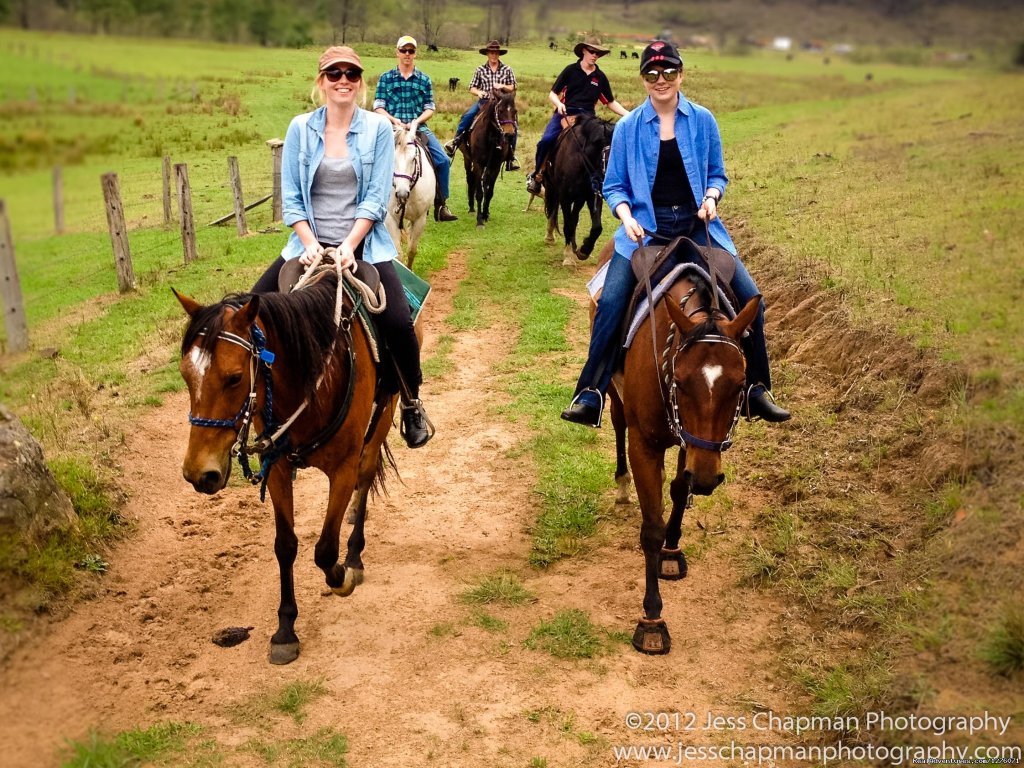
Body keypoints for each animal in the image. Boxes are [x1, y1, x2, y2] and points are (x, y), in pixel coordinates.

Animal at [174, 272, 397, 667]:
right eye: (186, 375)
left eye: (234, 378)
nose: (199, 473)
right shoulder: (276, 469)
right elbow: (285, 545)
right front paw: (285, 629)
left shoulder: (342, 469)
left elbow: (325, 549)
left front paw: (342, 576)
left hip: (384, 418)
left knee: (367, 474)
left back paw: (355, 554)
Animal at [382, 126, 434, 270]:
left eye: (413, 159)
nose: (402, 193)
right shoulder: (390, 218)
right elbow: (398, 255)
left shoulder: (420, 218)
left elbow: (412, 250)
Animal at [460, 90, 516, 227]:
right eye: (500, 110)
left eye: (515, 111)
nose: (509, 135)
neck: (491, 137)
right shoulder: (478, 164)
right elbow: (480, 193)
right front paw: (479, 221)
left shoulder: (495, 166)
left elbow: (489, 192)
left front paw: (485, 214)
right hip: (467, 159)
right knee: (470, 180)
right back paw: (471, 208)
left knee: (484, 183)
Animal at [593, 241, 761, 655]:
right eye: (681, 382)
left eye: (740, 383)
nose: (707, 478)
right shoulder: (644, 446)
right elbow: (650, 527)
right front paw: (652, 619)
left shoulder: (695, 446)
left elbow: (679, 491)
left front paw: (671, 551)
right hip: (615, 397)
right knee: (616, 422)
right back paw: (621, 486)